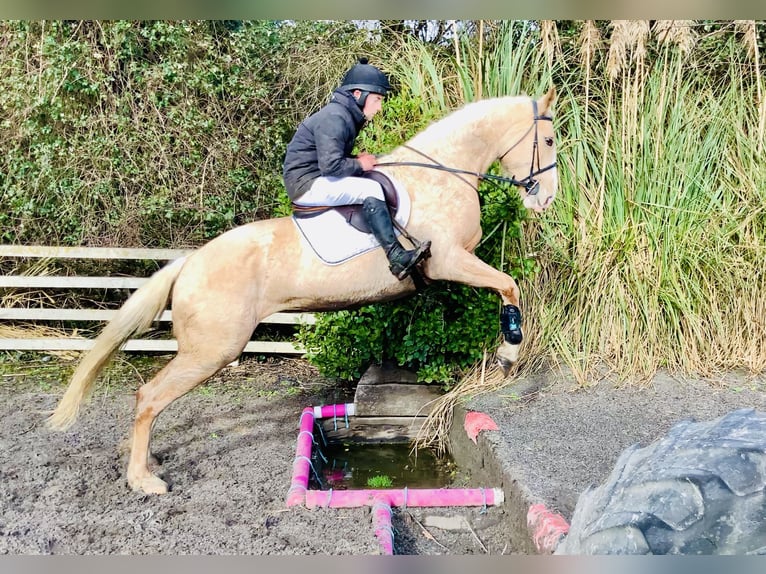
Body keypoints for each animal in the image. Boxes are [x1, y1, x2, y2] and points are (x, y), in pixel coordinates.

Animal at [47, 86, 558, 495]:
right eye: (551, 140)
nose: (547, 199)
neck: (442, 174)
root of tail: (189, 263)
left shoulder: (453, 264)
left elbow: (496, 288)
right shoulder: (451, 259)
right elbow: (509, 284)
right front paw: (509, 352)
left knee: (148, 399)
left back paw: (147, 462)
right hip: (212, 350)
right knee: (148, 397)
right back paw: (144, 480)